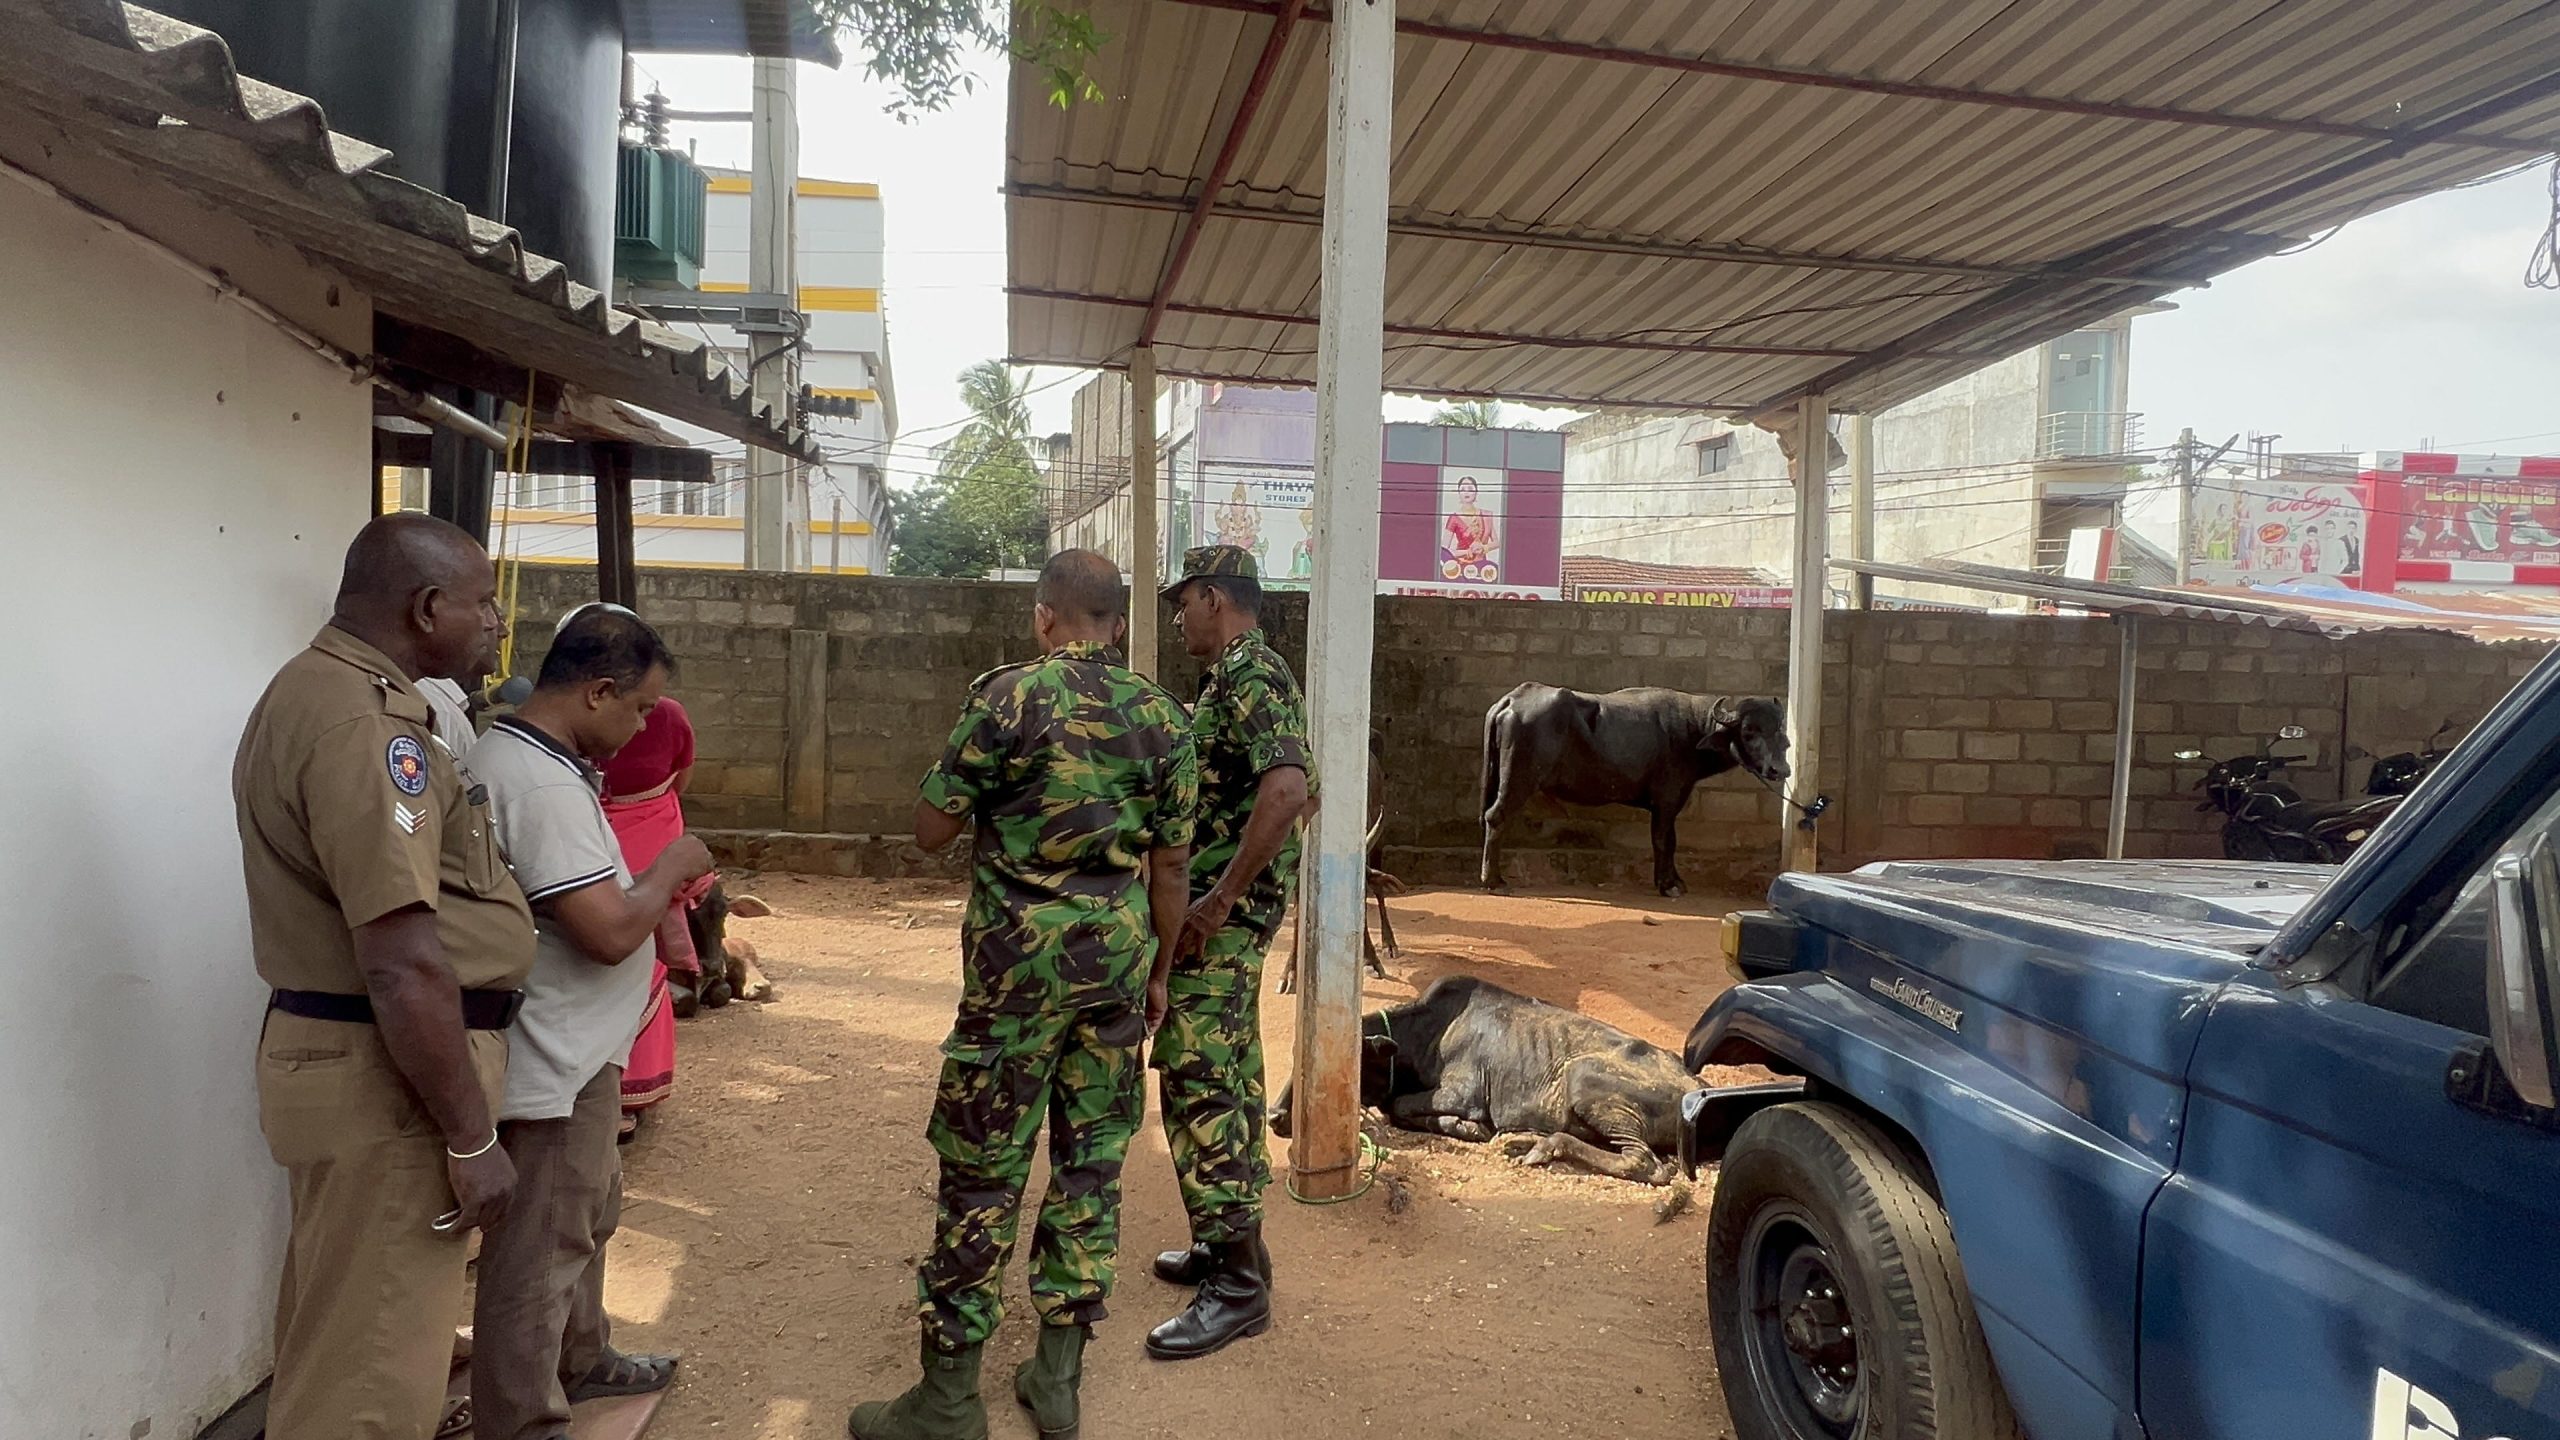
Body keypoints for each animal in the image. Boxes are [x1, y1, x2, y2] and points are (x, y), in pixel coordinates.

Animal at [1269, 975, 1697, 1185]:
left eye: (1346, 1065)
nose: (1275, 1116)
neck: (1427, 1033)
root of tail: (1693, 1085)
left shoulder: (1461, 1093)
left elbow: (1399, 1106)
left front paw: (1468, 1128)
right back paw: (1524, 1139)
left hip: (1584, 1080)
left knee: (1645, 1164)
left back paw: (1539, 1146)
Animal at [1479, 686, 1789, 897]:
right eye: (1749, 730)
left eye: (1780, 730)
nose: (1780, 770)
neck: (1691, 731)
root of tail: (1512, 700)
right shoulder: (1666, 800)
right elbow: (1665, 840)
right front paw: (1667, 885)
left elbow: (1670, 840)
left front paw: (1675, 880)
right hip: (1518, 779)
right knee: (1496, 817)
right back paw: (1494, 880)